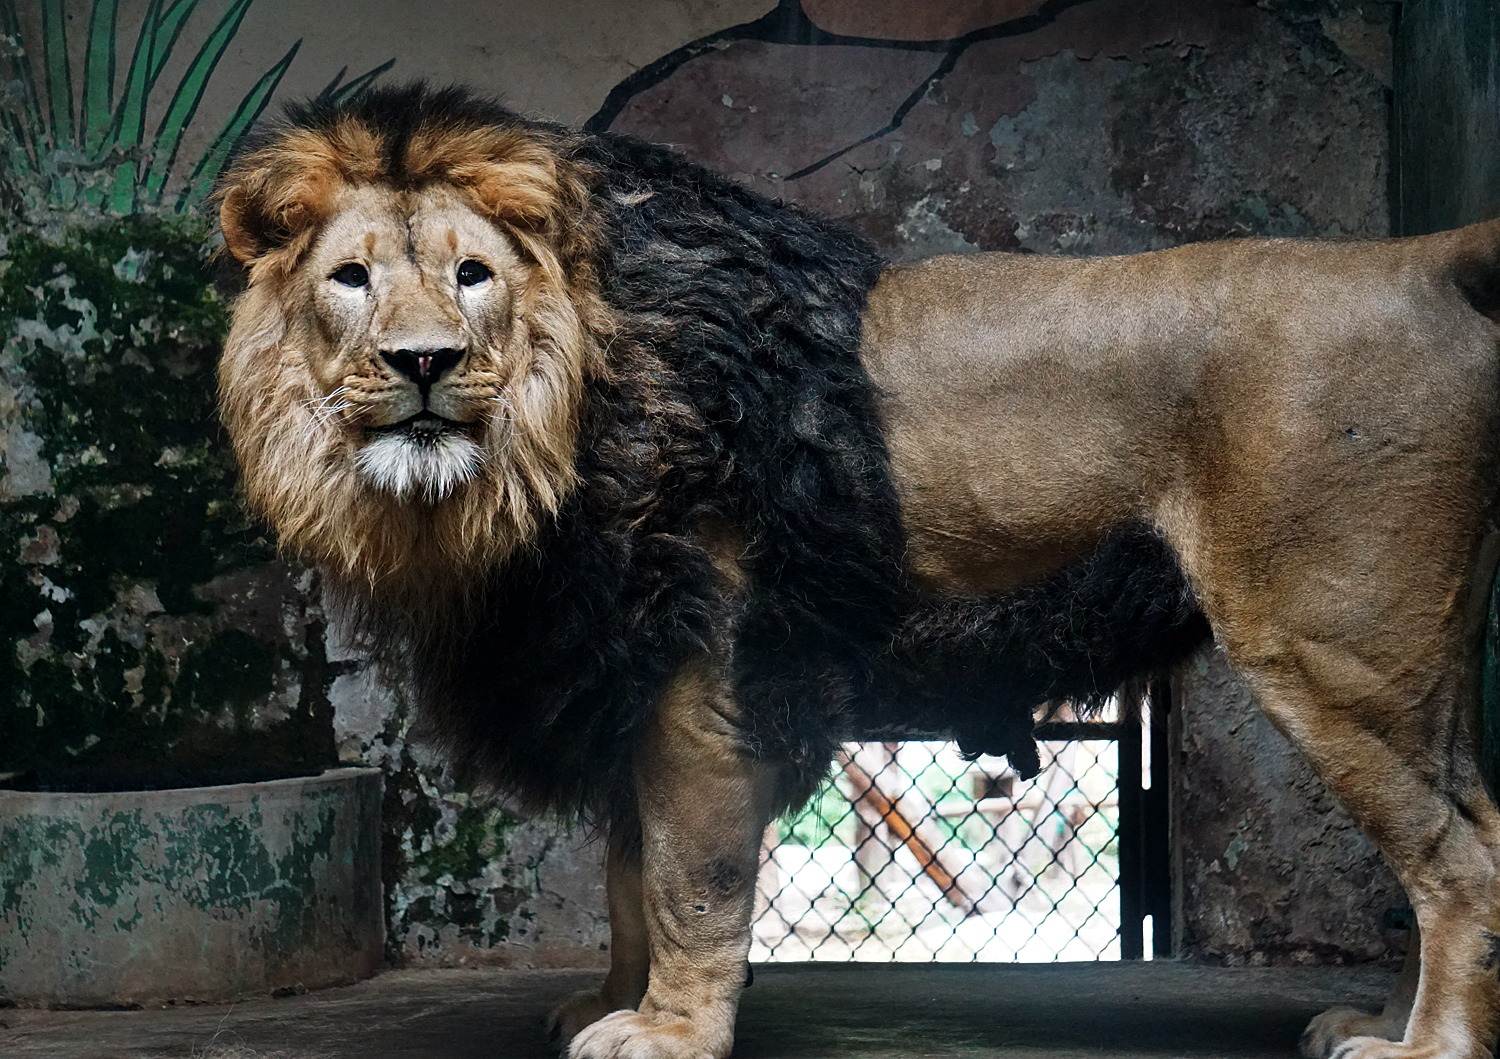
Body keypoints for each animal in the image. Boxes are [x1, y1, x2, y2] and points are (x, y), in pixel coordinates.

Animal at [216, 83, 1500, 1059]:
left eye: (474, 274)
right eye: (351, 278)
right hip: (1403, 664)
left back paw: (1423, 1048)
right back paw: (1383, 1021)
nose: (422, 363)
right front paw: (613, 1002)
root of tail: (1414, 260)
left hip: (1333, 649)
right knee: (1470, 824)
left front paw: (669, 1034)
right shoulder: (627, 666)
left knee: (1458, 855)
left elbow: (685, 876)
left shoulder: (706, 674)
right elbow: (628, 875)